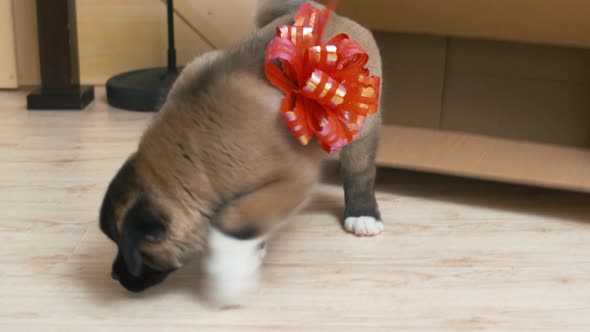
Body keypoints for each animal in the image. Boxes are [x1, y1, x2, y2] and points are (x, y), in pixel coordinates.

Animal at [98, 0, 384, 304]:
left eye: (132, 250)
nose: (114, 275)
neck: (194, 153)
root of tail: (326, 12)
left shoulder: (292, 180)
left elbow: (232, 221)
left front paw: (229, 275)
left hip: (360, 134)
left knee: (360, 175)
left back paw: (363, 215)